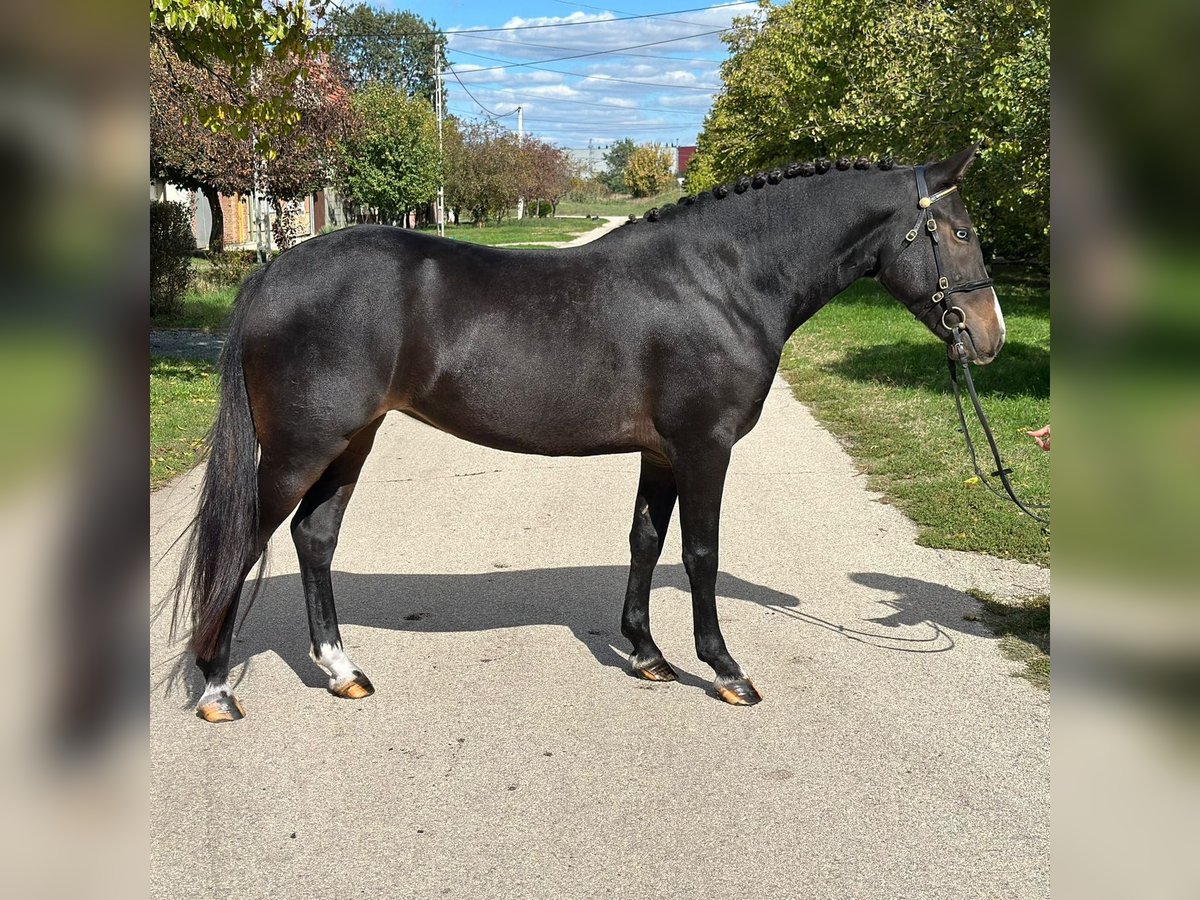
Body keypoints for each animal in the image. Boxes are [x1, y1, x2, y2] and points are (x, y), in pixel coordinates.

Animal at [174, 148, 1003, 724]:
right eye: (959, 232)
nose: (989, 337)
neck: (723, 280)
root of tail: (274, 271)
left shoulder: (662, 453)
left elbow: (645, 540)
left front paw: (647, 655)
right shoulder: (705, 448)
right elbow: (700, 555)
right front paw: (725, 670)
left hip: (353, 440)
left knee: (315, 538)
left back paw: (342, 671)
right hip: (300, 448)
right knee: (244, 542)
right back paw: (216, 686)